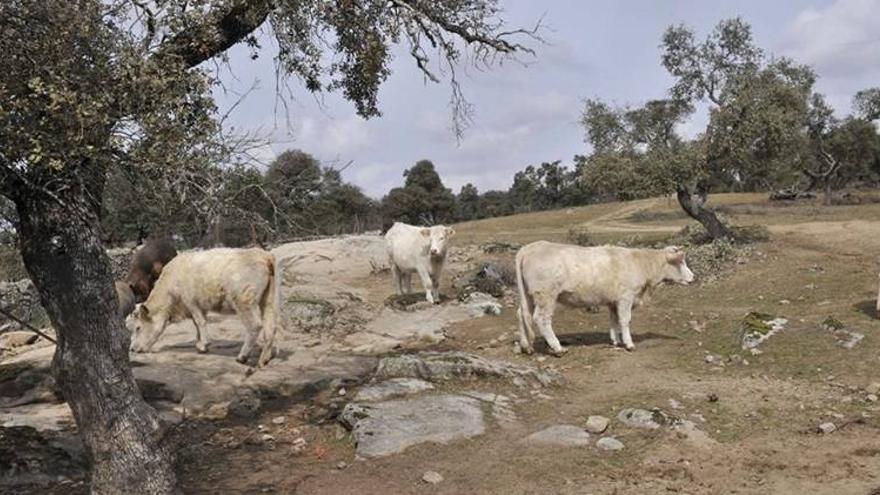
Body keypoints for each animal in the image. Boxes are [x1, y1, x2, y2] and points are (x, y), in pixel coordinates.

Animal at [128, 248, 282, 368]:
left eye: (138, 327)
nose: (132, 349)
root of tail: (264, 255)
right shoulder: (198, 305)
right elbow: (197, 324)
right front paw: (199, 343)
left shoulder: (191, 301)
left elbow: (199, 321)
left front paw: (204, 344)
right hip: (268, 299)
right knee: (271, 326)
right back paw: (264, 359)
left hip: (244, 300)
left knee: (255, 325)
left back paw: (242, 357)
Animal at [516, 241, 696, 354]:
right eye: (680, 262)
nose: (693, 277)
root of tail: (529, 248)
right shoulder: (626, 297)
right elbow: (625, 320)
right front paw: (629, 343)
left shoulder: (613, 301)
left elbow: (614, 320)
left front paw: (615, 340)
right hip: (545, 296)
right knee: (541, 319)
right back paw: (557, 348)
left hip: (529, 296)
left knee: (522, 314)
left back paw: (526, 346)